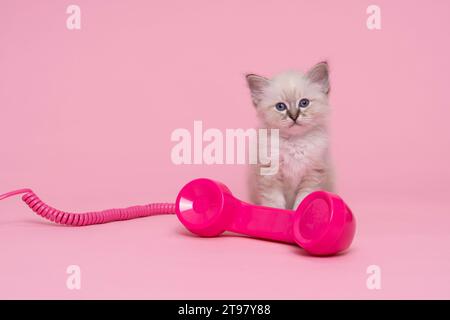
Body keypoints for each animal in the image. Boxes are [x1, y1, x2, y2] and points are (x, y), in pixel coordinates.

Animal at [246, 62, 334, 210]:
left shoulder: (312, 176)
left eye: (304, 103)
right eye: (280, 107)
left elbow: (304, 201)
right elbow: (274, 204)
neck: (295, 142)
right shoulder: (270, 176)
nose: (294, 116)